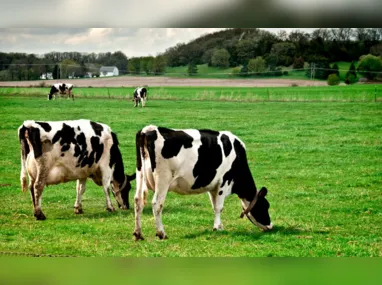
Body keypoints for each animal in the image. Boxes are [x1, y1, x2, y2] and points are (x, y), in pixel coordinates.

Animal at [133, 125, 274, 239]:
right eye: (265, 206)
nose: (271, 226)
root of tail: (148, 129)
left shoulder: (212, 186)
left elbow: (214, 205)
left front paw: (219, 225)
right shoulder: (224, 181)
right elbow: (219, 207)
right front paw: (217, 228)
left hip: (140, 174)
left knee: (138, 200)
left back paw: (138, 234)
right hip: (163, 178)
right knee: (157, 204)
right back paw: (161, 233)